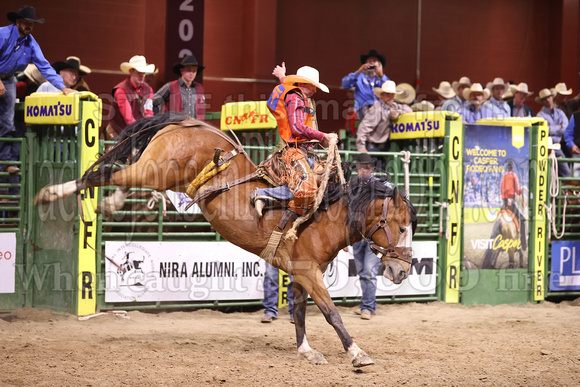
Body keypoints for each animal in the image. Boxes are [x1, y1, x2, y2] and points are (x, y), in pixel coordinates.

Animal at [34, 113, 416, 368]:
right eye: (399, 227)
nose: (402, 270)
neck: (323, 216)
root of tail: (192, 124)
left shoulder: (300, 273)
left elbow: (300, 312)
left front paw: (307, 351)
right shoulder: (309, 272)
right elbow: (330, 312)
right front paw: (357, 353)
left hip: (158, 174)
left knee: (115, 177)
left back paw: (108, 203)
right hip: (154, 169)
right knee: (101, 174)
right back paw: (49, 194)